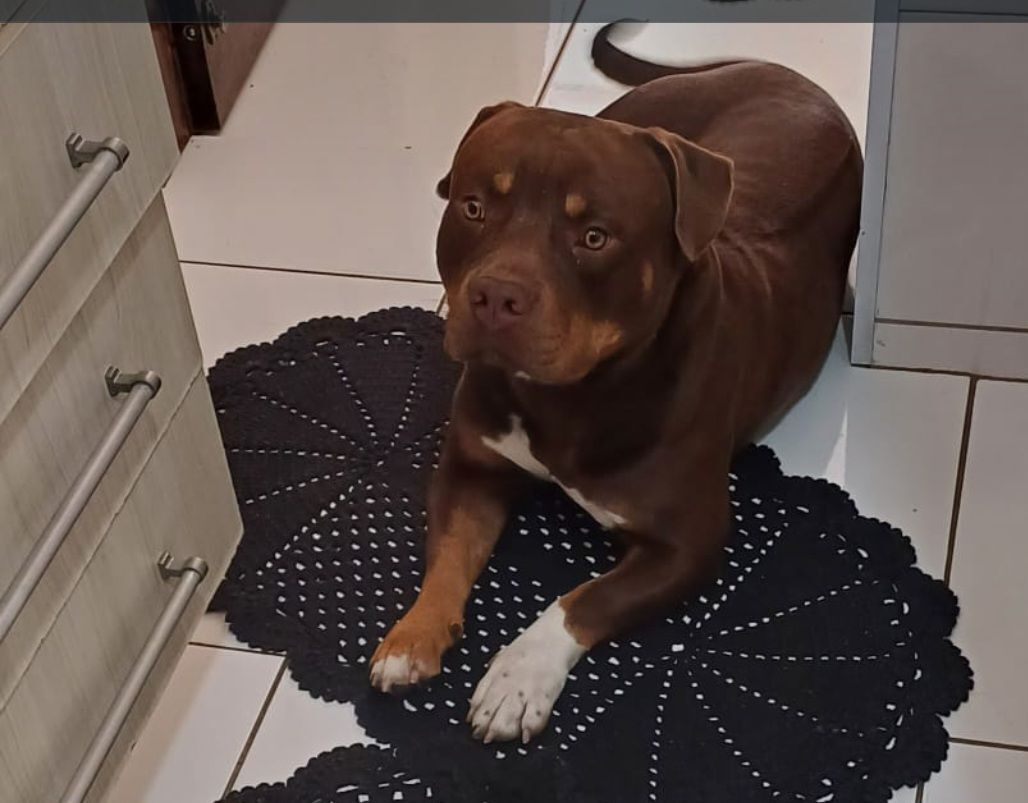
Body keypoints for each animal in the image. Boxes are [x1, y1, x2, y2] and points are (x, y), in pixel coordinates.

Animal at [370, 23, 863, 745]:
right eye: (473, 206)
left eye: (595, 237)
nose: (495, 297)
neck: (570, 395)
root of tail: (781, 70)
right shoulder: (471, 467)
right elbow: (449, 554)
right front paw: (412, 636)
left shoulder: (687, 544)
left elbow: (581, 600)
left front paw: (517, 679)